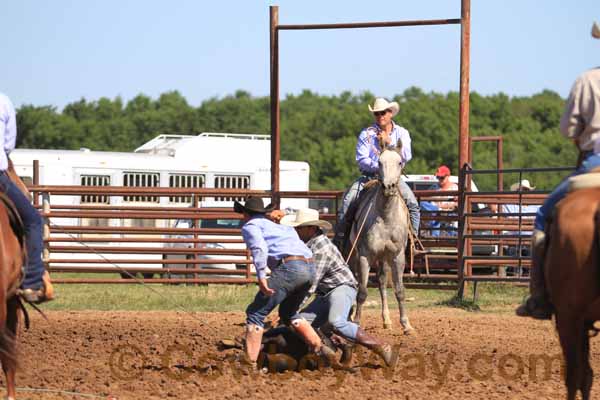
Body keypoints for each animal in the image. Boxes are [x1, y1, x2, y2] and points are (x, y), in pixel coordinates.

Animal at [346, 145, 412, 332]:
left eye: (400, 162)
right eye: (379, 162)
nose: (389, 186)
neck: (386, 216)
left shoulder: (397, 256)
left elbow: (399, 290)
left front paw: (406, 324)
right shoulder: (364, 255)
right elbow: (362, 291)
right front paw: (356, 322)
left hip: (384, 257)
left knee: (382, 281)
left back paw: (387, 320)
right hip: (354, 252)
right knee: (353, 278)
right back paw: (350, 314)